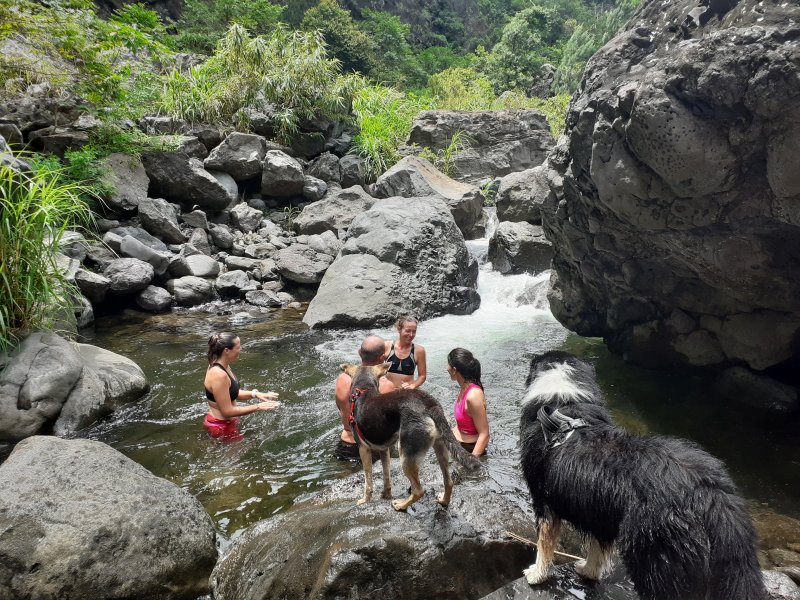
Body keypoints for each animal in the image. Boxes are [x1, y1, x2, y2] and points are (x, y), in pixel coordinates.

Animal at [343, 362, 481, 511]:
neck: (364, 390)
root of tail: (429, 403)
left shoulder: (363, 449)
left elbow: (368, 480)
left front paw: (364, 500)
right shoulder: (384, 449)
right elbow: (387, 476)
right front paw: (386, 495)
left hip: (406, 455)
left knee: (418, 490)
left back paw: (401, 505)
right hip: (441, 447)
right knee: (448, 482)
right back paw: (443, 501)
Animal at [519, 350, 766, 600]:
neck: (564, 405)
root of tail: (708, 493)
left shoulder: (543, 502)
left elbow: (544, 544)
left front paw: (536, 574)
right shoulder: (600, 514)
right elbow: (597, 549)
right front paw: (588, 571)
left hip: (654, 558)